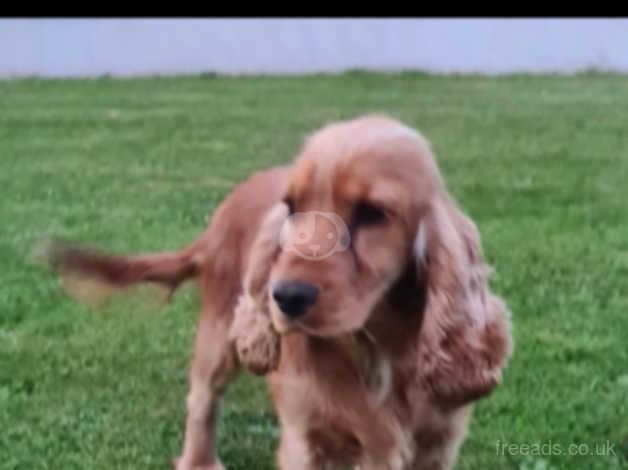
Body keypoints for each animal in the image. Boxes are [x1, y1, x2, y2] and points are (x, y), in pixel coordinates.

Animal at [45, 114, 516, 470]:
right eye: (292, 208)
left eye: (372, 213)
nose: (285, 297)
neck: (377, 350)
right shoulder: (306, 436)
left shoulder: (438, 443)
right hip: (220, 334)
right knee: (202, 401)